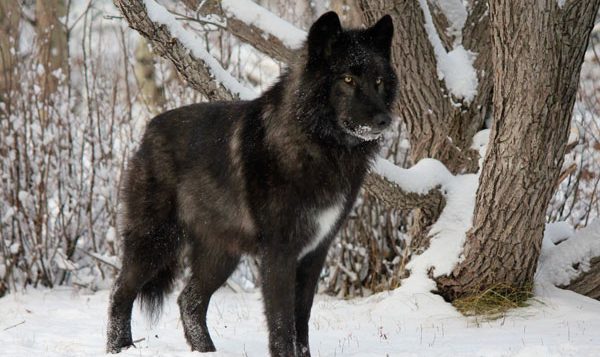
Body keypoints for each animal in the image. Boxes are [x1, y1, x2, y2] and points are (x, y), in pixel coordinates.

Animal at [106, 11, 398, 356]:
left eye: (378, 81)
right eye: (348, 80)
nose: (384, 120)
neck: (318, 147)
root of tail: (148, 130)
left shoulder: (315, 254)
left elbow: (302, 322)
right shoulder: (279, 254)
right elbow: (283, 325)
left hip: (220, 255)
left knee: (189, 300)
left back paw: (206, 351)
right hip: (155, 242)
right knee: (121, 291)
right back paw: (119, 347)